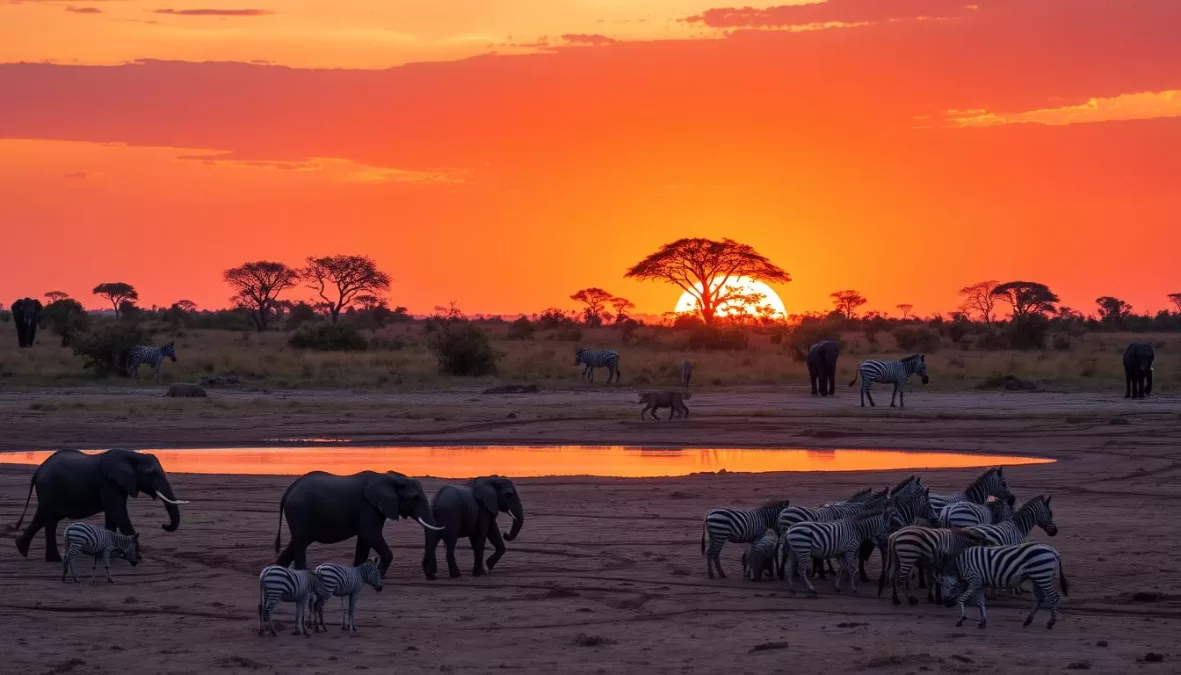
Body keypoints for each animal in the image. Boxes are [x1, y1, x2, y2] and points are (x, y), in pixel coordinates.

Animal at [11, 449, 188, 562]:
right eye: (153, 473)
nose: (164, 524)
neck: (133, 455)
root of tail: (38, 470)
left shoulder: (118, 484)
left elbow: (112, 515)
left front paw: (112, 554)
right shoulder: (109, 483)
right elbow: (118, 512)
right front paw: (137, 557)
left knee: (42, 517)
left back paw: (22, 549)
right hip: (50, 487)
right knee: (50, 520)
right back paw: (55, 560)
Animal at [274, 470, 444, 577]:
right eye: (416, 497)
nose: (431, 575)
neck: (389, 477)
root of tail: (288, 491)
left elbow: (364, 541)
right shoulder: (367, 506)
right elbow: (370, 535)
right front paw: (378, 576)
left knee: (296, 542)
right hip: (300, 510)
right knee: (300, 543)